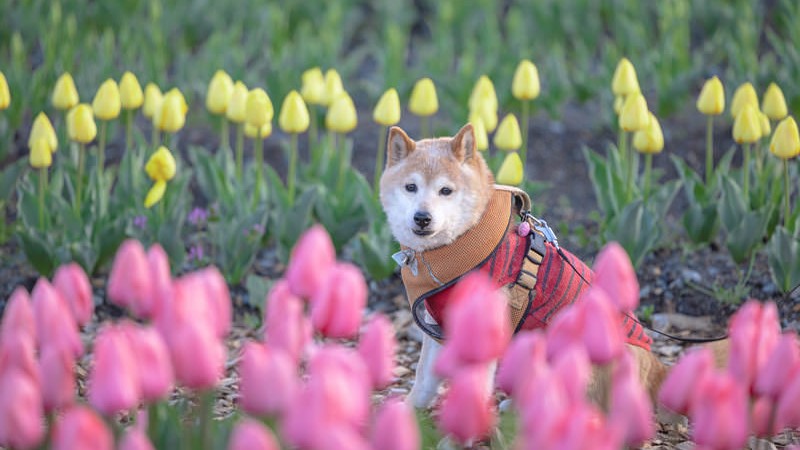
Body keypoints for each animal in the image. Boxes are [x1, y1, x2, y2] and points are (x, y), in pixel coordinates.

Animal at [382, 122, 668, 408]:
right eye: (410, 187)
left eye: (446, 191)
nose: (422, 217)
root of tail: (656, 370)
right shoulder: (436, 327)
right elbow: (424, 378)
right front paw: (410, 410)